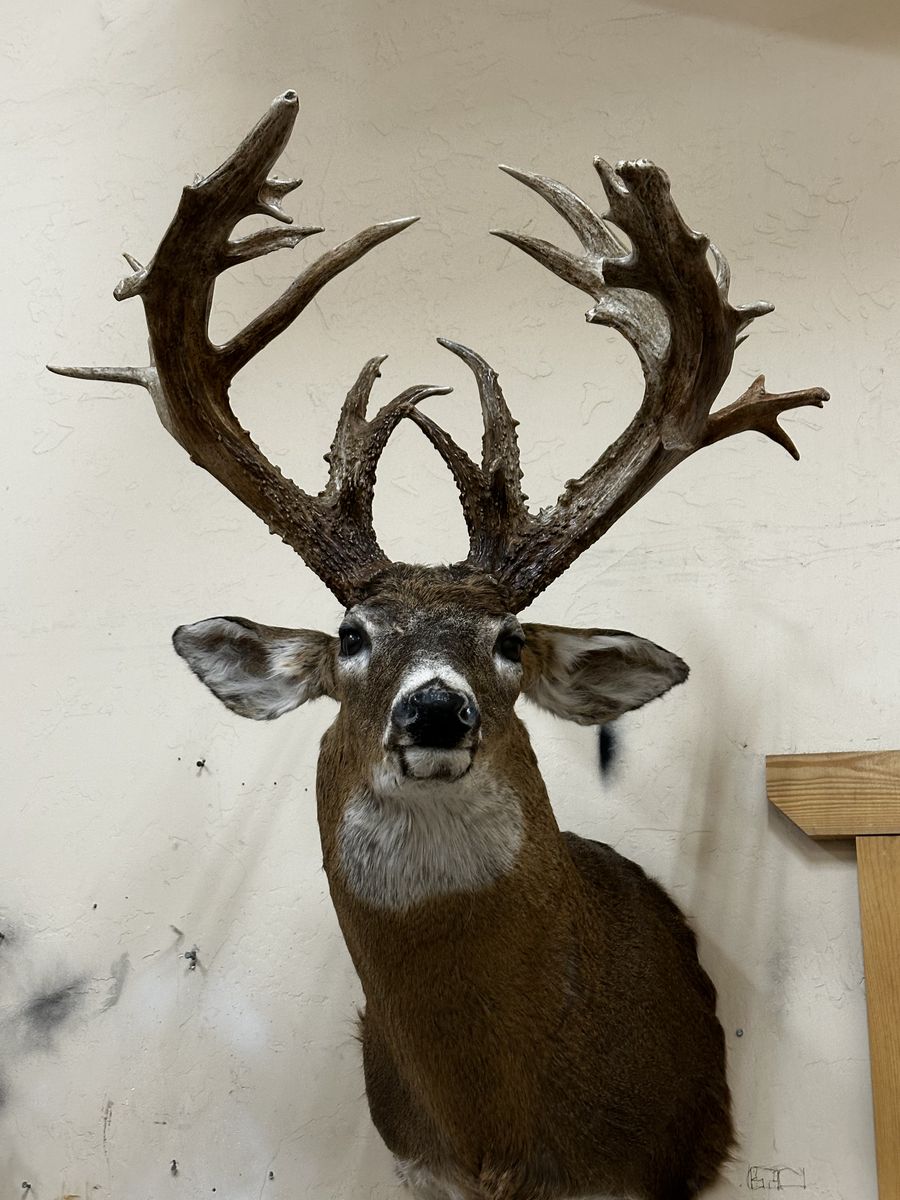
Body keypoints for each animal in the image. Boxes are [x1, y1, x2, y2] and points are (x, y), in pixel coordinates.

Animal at [51, 92, 828, 1200]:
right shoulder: (414, 1163)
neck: (496, 1130)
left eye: (509, 637)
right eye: (349, 633)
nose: (433, 709)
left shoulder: (645, 1166)